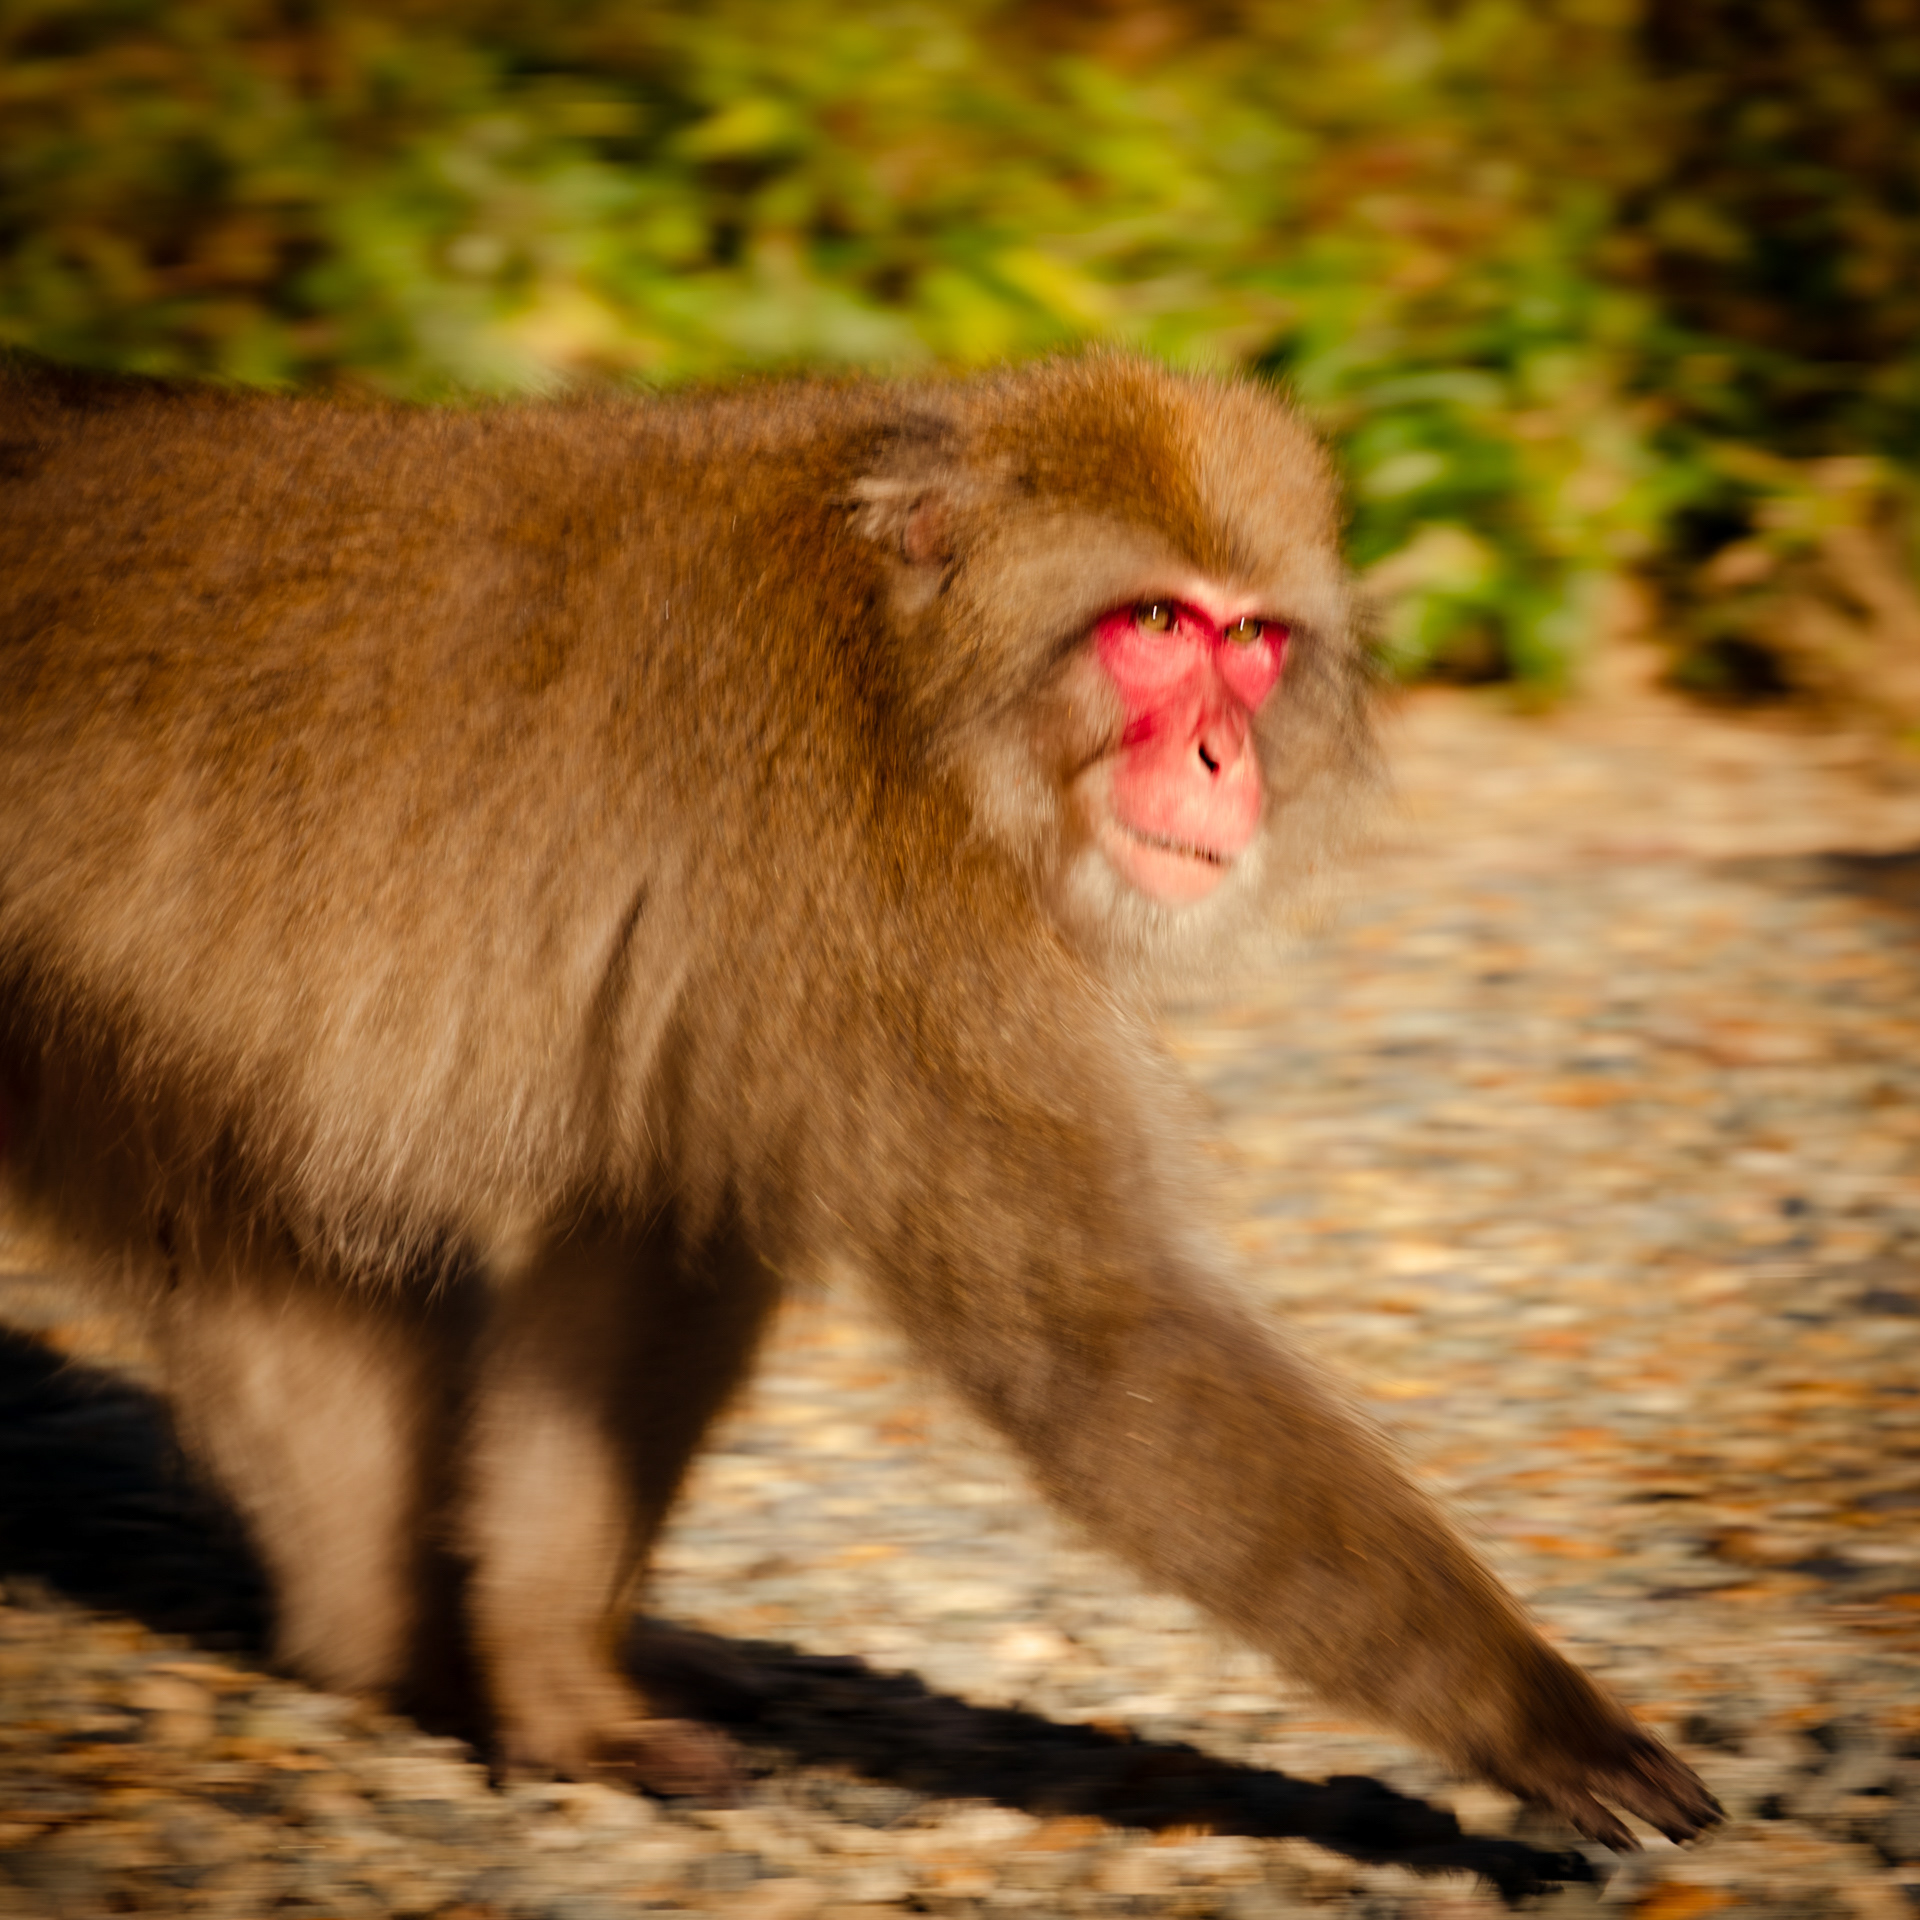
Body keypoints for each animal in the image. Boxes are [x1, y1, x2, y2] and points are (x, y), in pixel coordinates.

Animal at [0, 354, 1719, 1848]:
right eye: (1155, 623)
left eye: (1252, 643)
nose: (1224, 758)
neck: (907, 676)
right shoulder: (879, 902)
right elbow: (1095, 1336)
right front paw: (1542, 1719)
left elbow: (658, 1244)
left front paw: (556, 1677)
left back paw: (395, 1646)